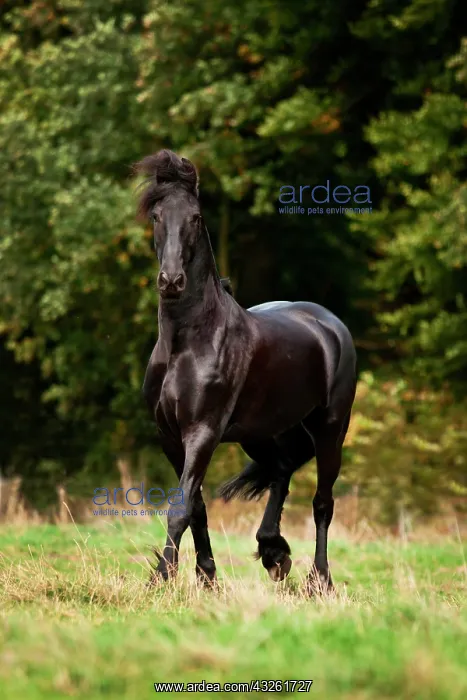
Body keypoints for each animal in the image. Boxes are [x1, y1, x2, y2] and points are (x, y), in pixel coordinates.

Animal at [136, 149, 357, 593]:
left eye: (196, 217)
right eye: (155, 215)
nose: (171, 281)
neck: (189, 342)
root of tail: (330, 324)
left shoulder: (202, 432)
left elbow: (180, 508)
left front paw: (162, 578)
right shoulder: (170, 436)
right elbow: (196, 506)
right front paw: (206, 577)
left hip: (330, 428)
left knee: (322, 501)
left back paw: (319, 580)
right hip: (263, 432)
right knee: (282, 470)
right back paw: (274, 553)